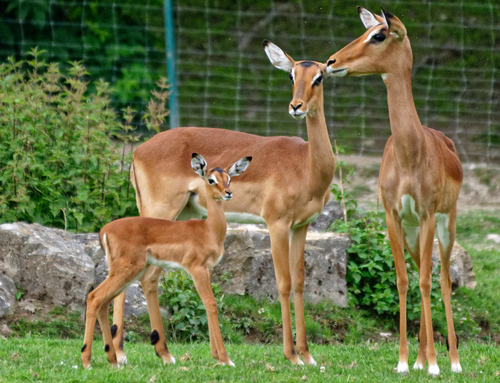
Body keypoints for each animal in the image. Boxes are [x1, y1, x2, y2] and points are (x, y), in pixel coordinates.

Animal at [80, 153, 252, 368]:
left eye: (229, 178)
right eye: (211, 179)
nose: (228, 193)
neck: (209, 230)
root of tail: (104, 230)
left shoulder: (208, 269)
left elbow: (207, 304)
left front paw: (218, 357)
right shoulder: (197, 269)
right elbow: (211, 304)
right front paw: (225, 358)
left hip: (127, 273)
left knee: (103, 302)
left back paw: (113, 360)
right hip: (127, 270)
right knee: (94, 297)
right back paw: (87, 361)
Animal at [326, 7, 462, 376]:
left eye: (379, 35)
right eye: (368, 30)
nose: (331, 62)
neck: (410, 155)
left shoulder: (427, 214)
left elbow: (427, 282)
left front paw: (435, 366)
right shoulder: (393, 217)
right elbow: (403, 280)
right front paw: (404, 362)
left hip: (446, 225)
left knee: (442, 279)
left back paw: (453, 362)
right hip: (414, 232)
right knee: (421, 274)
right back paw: (419, 358)